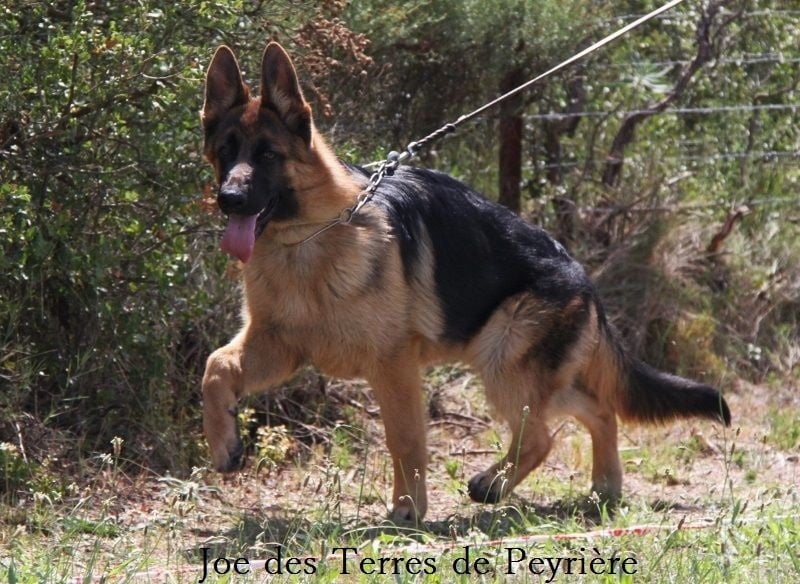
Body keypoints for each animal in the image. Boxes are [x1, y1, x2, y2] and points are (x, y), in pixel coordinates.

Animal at [200, 41, 731, 522]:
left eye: (268, 155)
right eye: (226, 152)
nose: (229, 199)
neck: (308, 238)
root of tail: (582, 276)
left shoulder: (393, 365)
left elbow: (405, 438)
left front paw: (408, 510)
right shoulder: (278, 345)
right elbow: (215, 365)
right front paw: (223, 443)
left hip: (502, 360)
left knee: (541, 435)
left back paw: (493, 484)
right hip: (513, 364)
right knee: (596, 410)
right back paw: (603, 486)